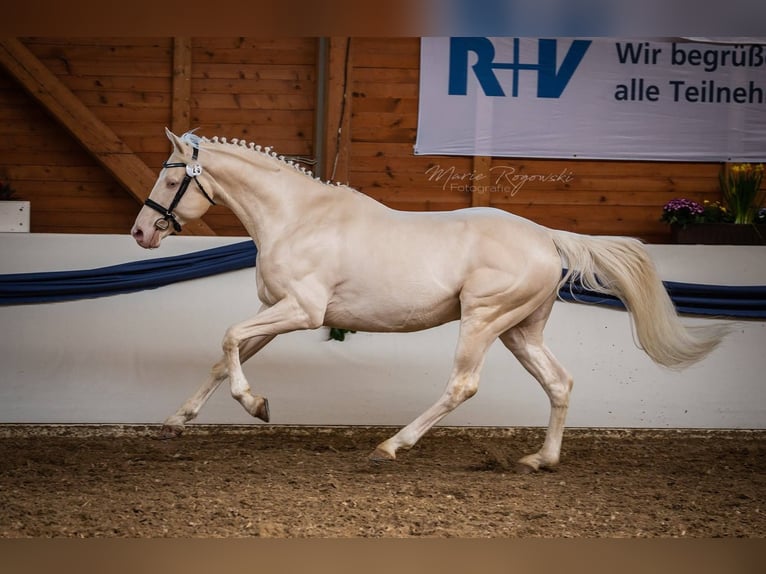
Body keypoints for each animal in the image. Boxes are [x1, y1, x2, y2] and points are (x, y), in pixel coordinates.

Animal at [131, 129, 728, 473]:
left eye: (168, 179)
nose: (141, 233)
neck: (298, 217)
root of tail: (544, 236)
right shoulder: (274, 313)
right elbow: (224, 355)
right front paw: (176, 421)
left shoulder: (301, 311)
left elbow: (228, 338)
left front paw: (256, 405)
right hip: (520, 329)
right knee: (559, 382)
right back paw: (540, 460)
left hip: (483, 320)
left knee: (462, 385)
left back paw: (391, 446)